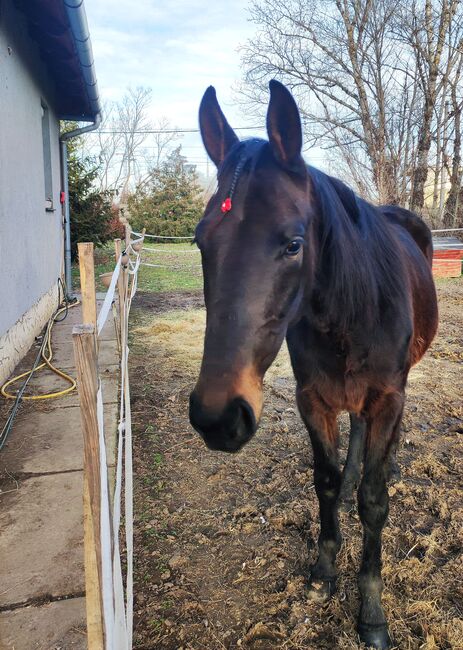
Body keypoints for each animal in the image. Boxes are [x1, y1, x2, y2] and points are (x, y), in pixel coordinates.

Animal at [188, 81, 438, 648]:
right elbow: (324, 481)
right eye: (200, 240)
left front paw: (371, 611)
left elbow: (374, 500)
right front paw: (324, 573)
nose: (218, 417)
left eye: (293, 244)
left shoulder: (387, 398)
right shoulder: (313, 399)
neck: (351, 310)